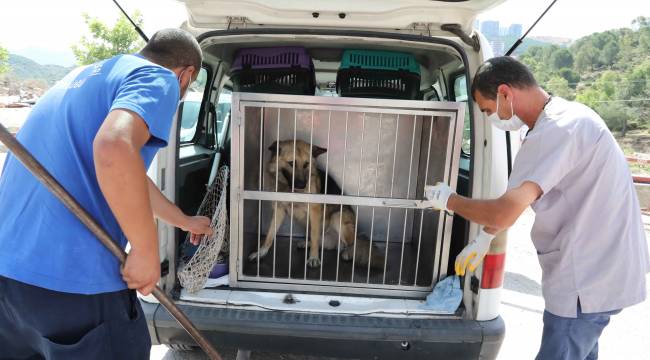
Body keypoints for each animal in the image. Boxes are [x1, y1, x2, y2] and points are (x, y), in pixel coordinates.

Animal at [247, 139, 380, 268]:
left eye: (306, 164)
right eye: (291, 163)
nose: (302, 185)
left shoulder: (315, 211)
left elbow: (315, 236)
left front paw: (314, 258)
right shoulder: (279, 211)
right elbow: (270, 235)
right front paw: (261, 252)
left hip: (338, 217)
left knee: (352, 242)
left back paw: (348, 252)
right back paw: (307, 243)